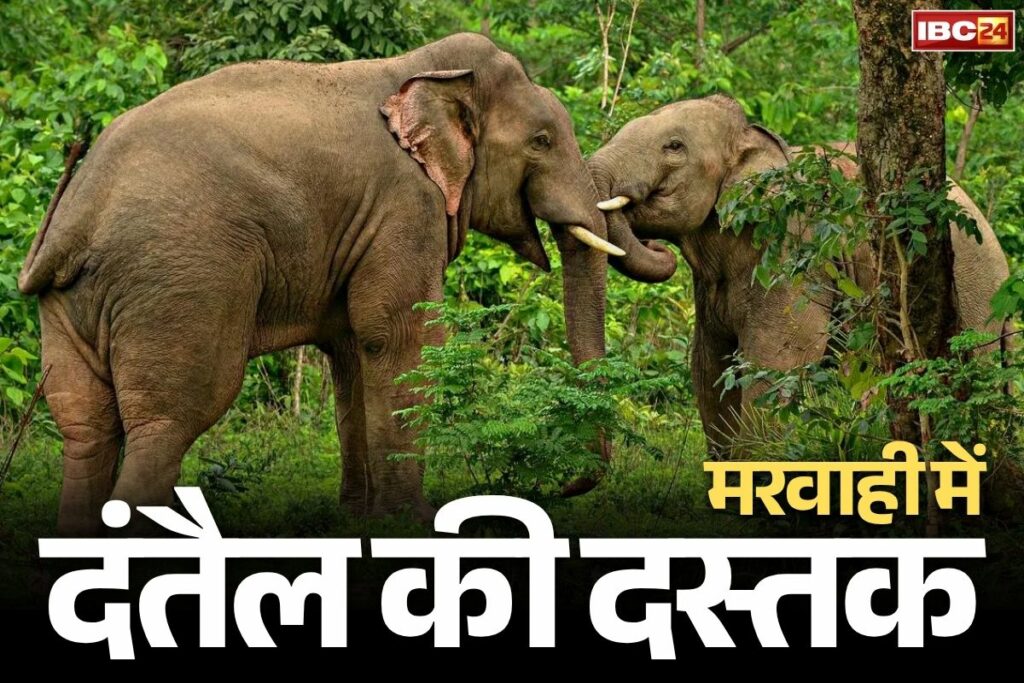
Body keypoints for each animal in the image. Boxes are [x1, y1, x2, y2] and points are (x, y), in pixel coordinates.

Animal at [18, 33, 627, 534]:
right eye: (542, 141)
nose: (564, 486)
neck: (420, 70)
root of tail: (75, 217)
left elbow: (354, 349)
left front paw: (360, 520)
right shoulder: (403, 206)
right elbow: (400, 337)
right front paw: (414, 522)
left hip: (73, 303)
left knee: (84, 427)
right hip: (179, 281)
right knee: (170, 421)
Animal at [587, 94, 1011, 456]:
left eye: (674, 146)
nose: (653, 246)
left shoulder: (791, 251)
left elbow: (777, 358)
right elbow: (709, 364)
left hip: (973, 292)